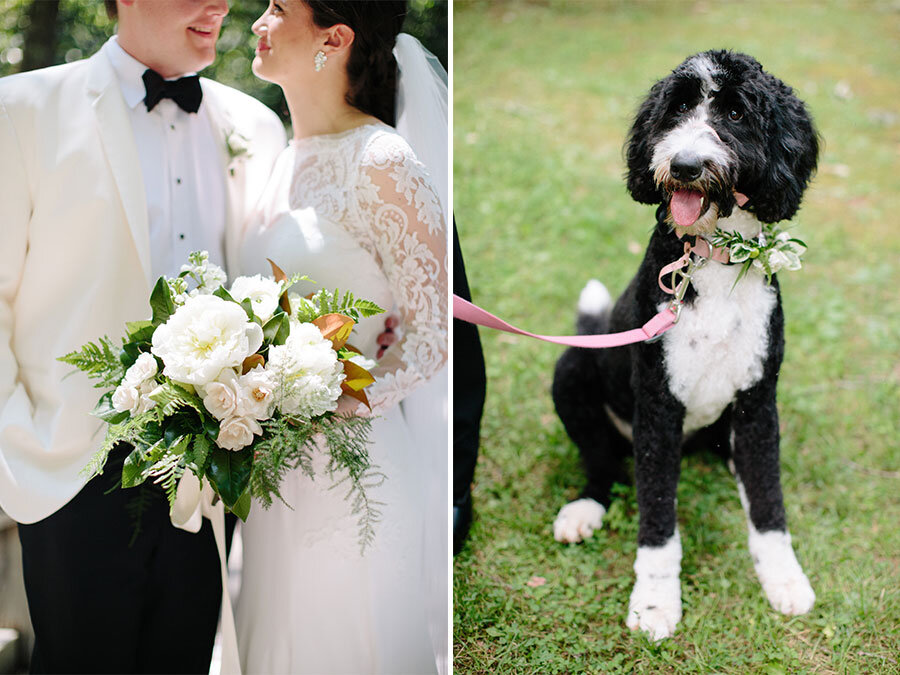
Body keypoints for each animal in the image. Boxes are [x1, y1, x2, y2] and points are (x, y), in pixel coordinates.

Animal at [552, 50, 820, 640]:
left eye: (737, 113)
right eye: (675, 111)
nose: (685, 165)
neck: (714, 259)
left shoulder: (758, 402)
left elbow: (769, 501)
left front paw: (784, 577)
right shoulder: (658, 407)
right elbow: (656, 516)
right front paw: (654, 602)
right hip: (572, 369)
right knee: (601, 462)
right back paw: (585, 508)